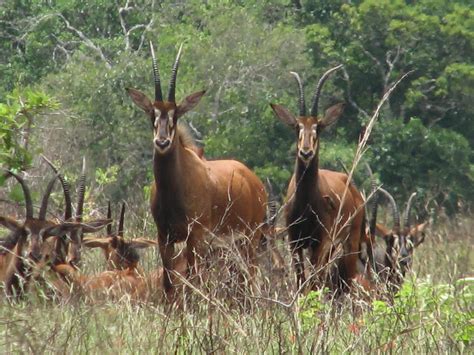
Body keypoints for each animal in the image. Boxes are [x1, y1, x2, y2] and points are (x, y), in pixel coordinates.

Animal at [126, 42, 266, 300]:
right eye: (152, 114)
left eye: (176, 114)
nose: (162, 142)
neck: (174, 187)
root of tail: (254, 181)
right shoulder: (164, 236)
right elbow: (169, 282)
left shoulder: (196, 236)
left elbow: (193, 280)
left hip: (250, 238)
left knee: (251, 276)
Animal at [270, 66, 366, 292]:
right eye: (297, 126)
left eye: (318, 127)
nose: (306, 152)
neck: (305, 201)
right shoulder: (294, 241)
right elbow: (300, 279)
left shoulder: (320, 242)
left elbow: (313, 282)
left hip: (348, 243)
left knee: (348, 278)